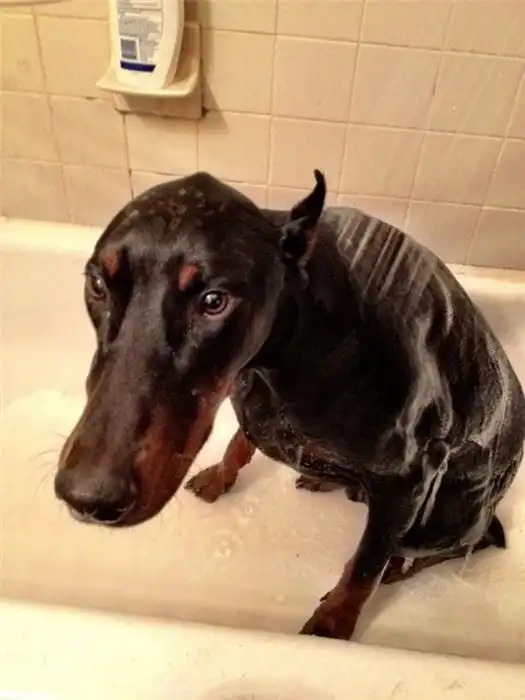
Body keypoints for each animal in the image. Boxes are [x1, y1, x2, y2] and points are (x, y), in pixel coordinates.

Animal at [55, 171, 525, 640]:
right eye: (97, 285)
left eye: (214, 301)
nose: (87, 497)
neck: (301, 339)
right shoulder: (252, 393)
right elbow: (240, 442)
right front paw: (218, 477)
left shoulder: (410, 477)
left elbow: (364, 567)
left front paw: (332, 624)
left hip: (445, 517)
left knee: (463, 540)